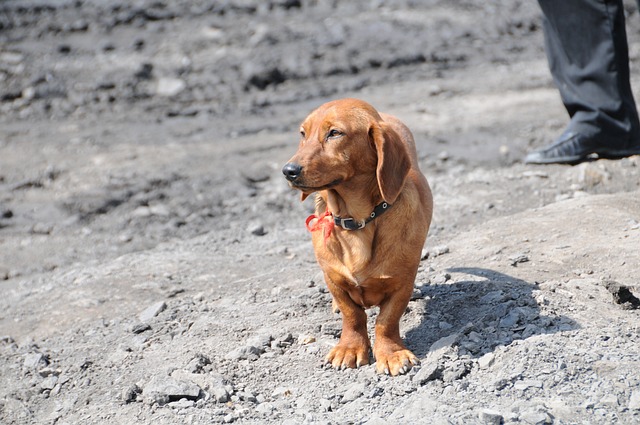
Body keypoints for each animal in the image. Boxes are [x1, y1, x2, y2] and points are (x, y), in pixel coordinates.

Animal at [282, 97, 432, 374]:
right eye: (302, 134)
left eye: (334, 133)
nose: (289, 171)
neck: (357, 222)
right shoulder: (334, 280)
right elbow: (352, 315)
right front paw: (349, 348)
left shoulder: (402, 283)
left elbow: (386, 320)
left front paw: (391, 353)